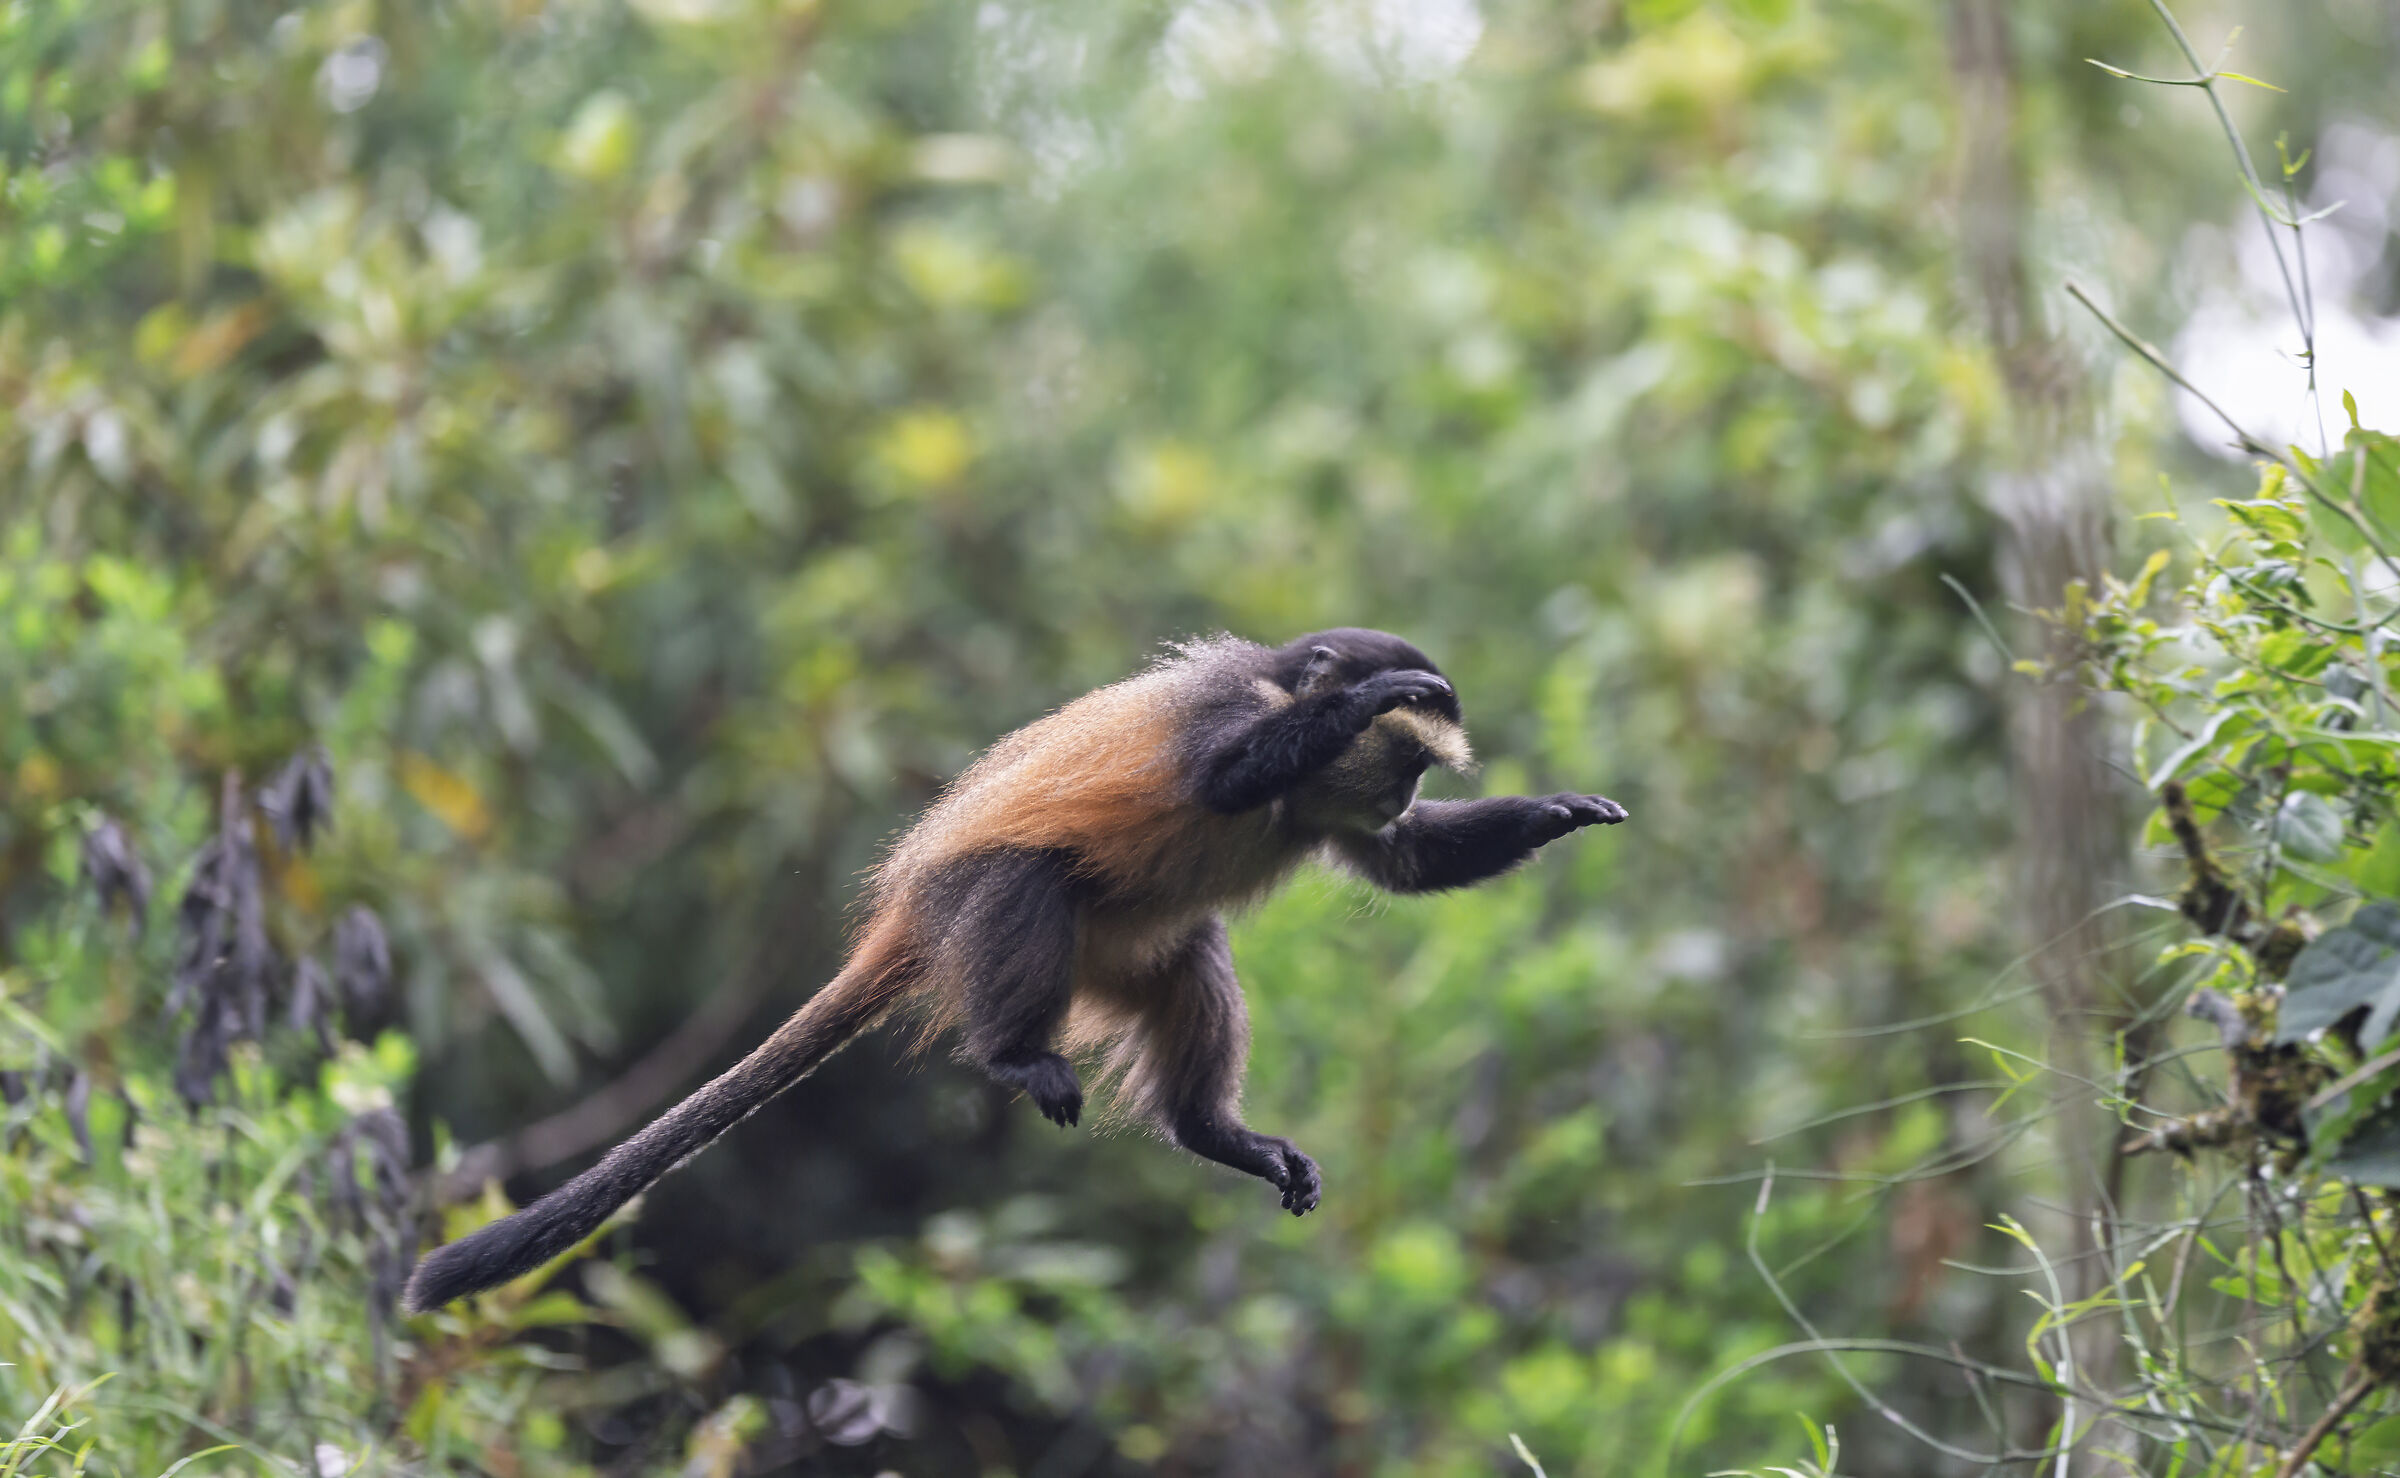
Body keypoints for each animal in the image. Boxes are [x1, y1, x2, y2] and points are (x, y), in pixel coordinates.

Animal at [402, 628, 1626, 1311]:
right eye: (1405, 758)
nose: (1407, 788)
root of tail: (906, 911)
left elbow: (1400, 864)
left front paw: (1557, 814)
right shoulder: (1235, 714)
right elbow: (1228, 777)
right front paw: (1361, 699)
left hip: (1121, 955)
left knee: (1192, 949)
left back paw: (1212, 1133)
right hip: (982, 919)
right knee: (1028, 874)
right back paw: (1011, 1056)